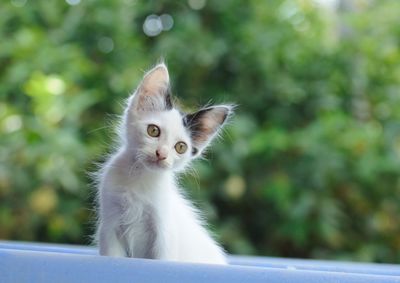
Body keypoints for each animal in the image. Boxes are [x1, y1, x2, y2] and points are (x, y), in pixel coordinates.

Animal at [95, 63, 233, 266]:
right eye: (153, 131)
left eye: (181, 147)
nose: (161, 154)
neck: (139, 178)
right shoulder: (110, 226)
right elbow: (112, 255)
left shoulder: (164, 234)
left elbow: (162, 259)